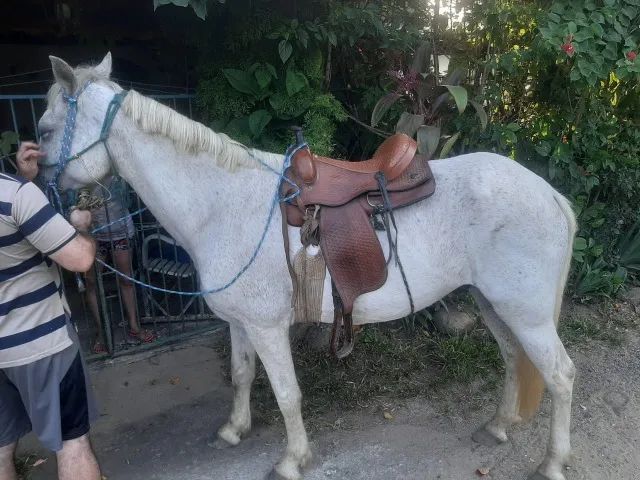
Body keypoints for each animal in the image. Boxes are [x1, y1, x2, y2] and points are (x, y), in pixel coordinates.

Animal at [38, 52, 577, 480]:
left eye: (44, 130)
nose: (43, 186)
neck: (221, 203)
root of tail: (549, 193)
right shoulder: (240, 323)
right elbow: (240, 375)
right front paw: (234, 430)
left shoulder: (267, 327)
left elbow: (286, 393)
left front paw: (291, 460)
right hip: (494, 304)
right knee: (514, 359)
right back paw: (498, 427)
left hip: (524, 312)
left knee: (560, 374)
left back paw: (552, 463)